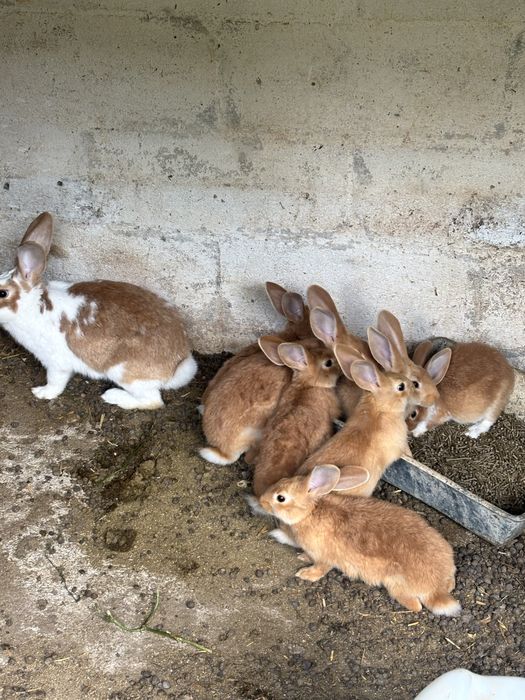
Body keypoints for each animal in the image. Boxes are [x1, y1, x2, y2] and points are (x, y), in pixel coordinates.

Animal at [0, 213, 196, 409]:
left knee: (152, 401)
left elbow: (56, 382)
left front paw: (41, 393)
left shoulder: (57, 363)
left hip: (124, 373)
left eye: (3, 293)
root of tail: (178, 362)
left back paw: (112, 395)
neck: (32, 305)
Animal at [259, 464, 461, 616]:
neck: (310, 512)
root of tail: (437, 589)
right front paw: (302, 557)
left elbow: (320, 568)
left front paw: (304, 574)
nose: (261, 501)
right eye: (282, 479)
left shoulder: (324, 558)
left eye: (281, 498)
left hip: (395, 585)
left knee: (416, 606)